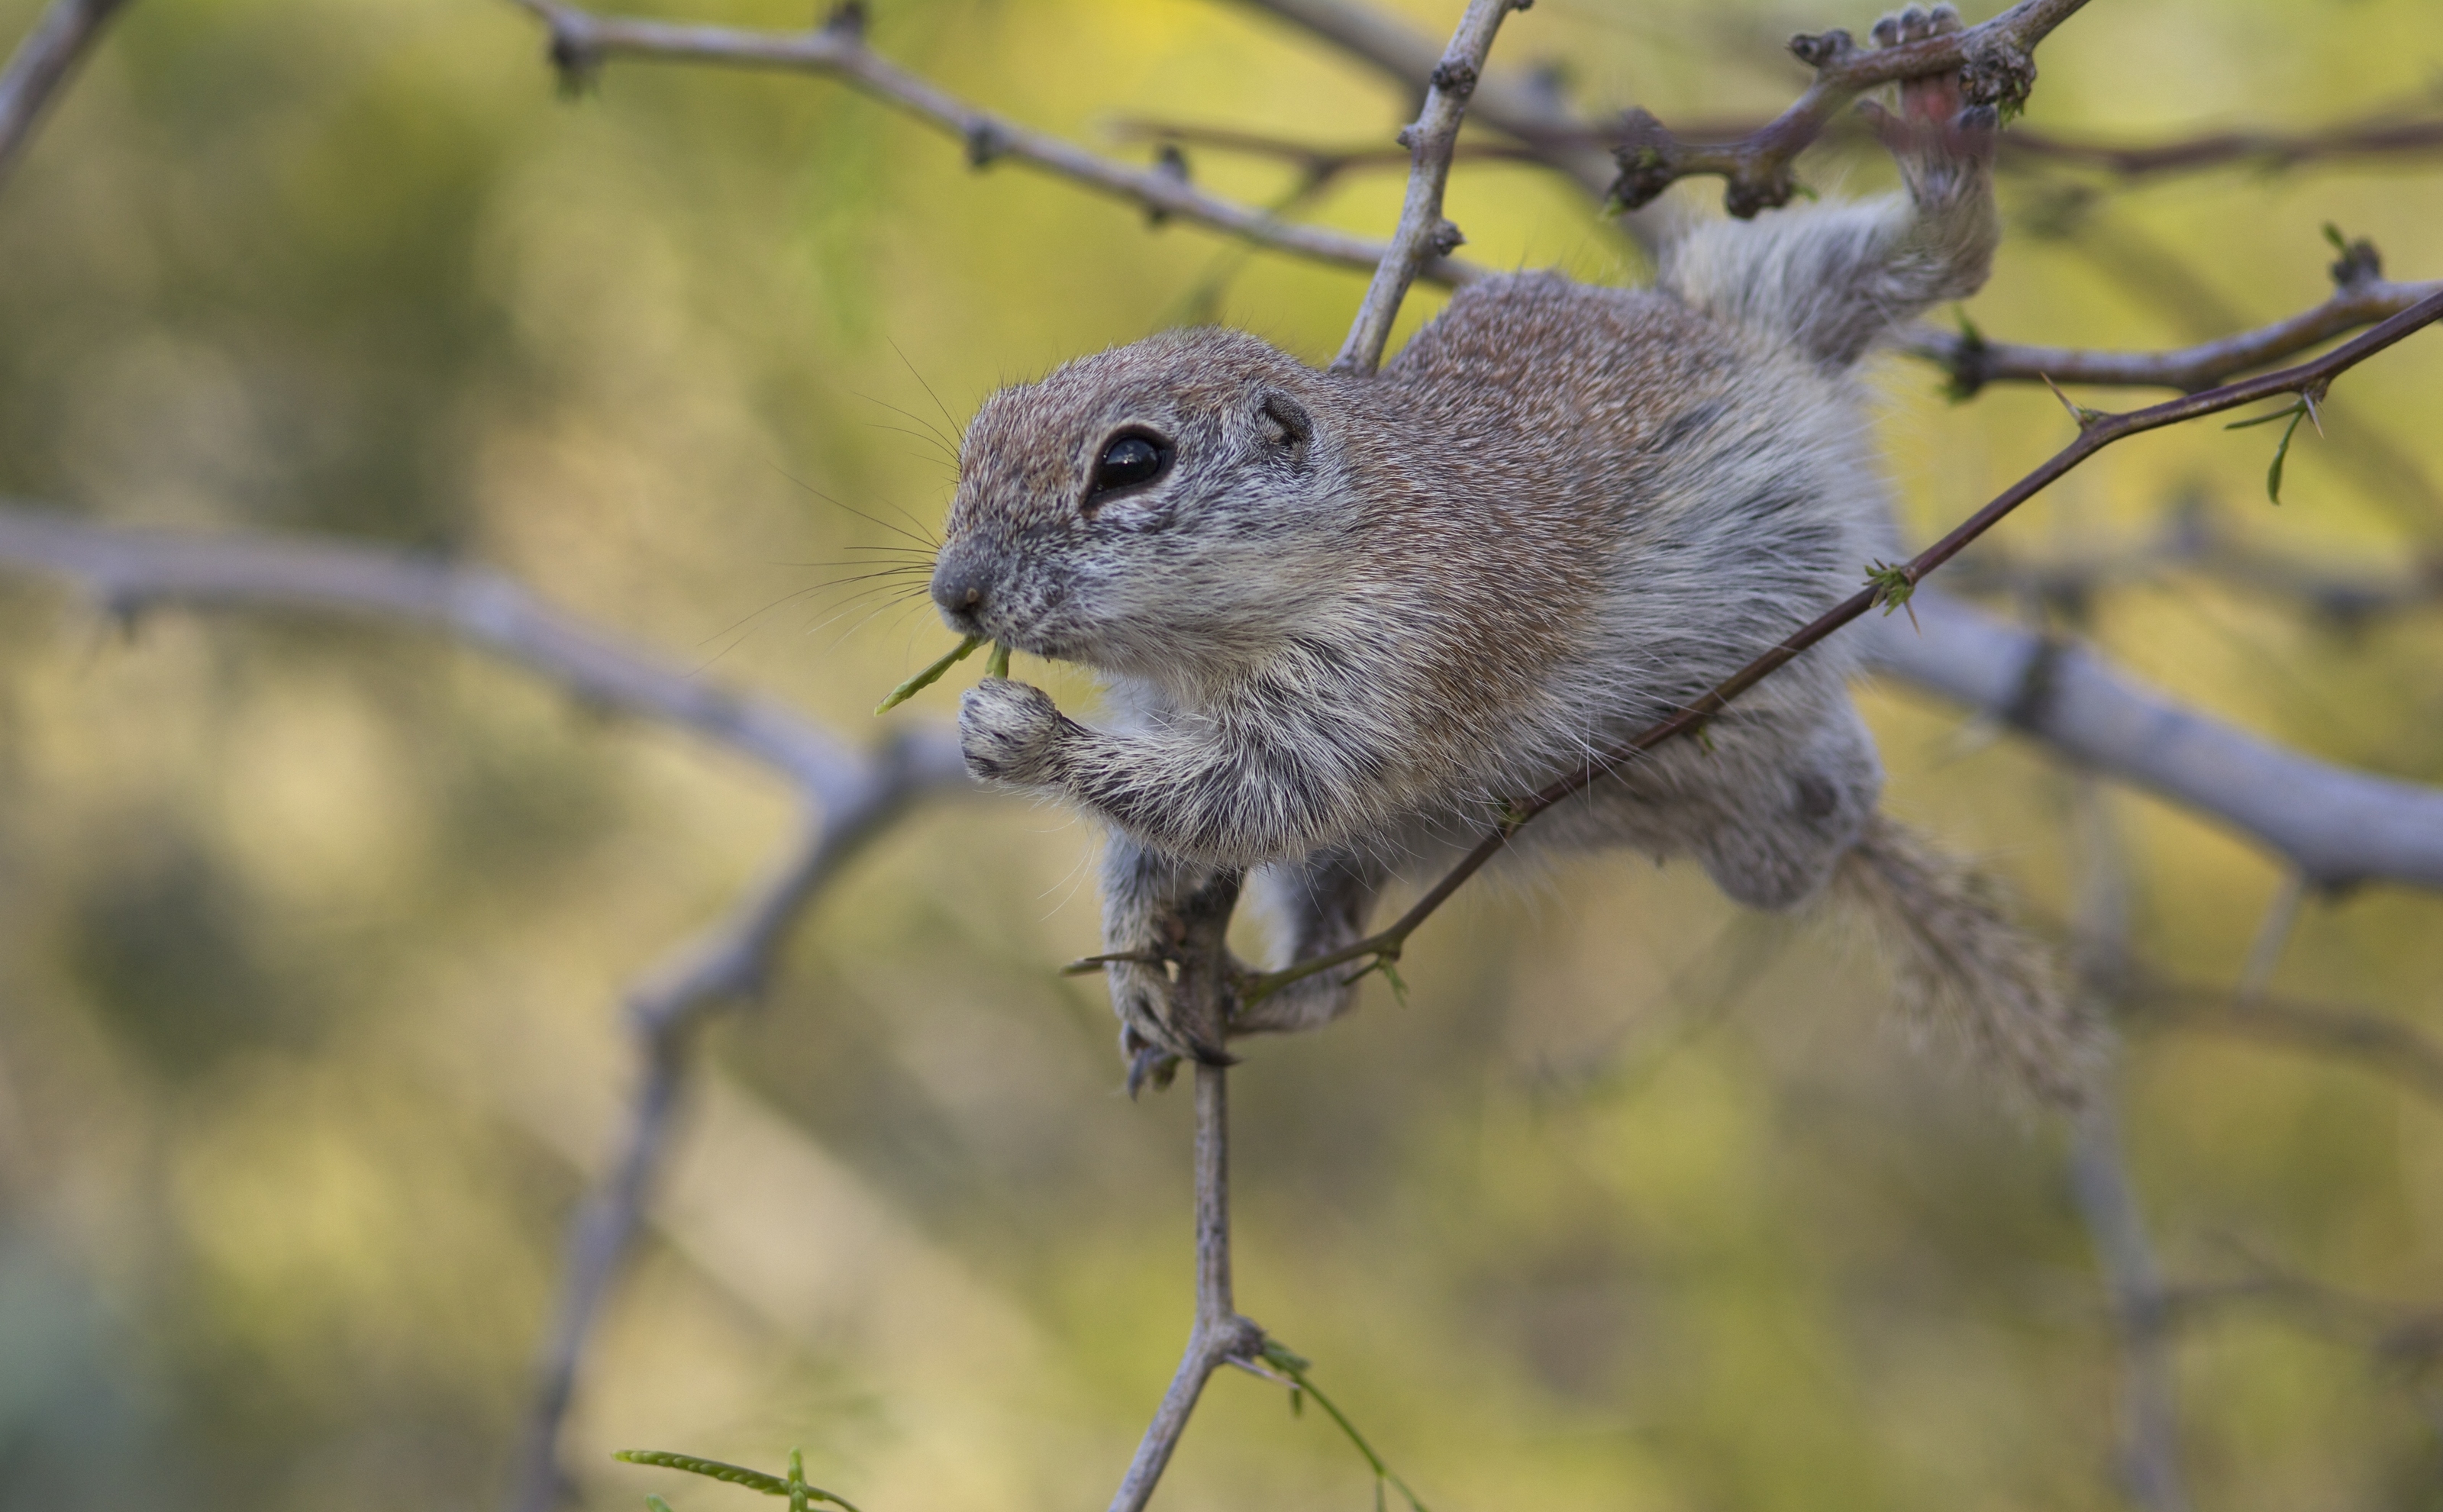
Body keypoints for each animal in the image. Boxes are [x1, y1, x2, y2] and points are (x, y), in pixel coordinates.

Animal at [923, 5, 2091, 1104]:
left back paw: (1937, 126)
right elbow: (1163, 838)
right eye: (979, 431)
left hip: (1784, 288)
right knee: (1335, 971)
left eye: (1130, 462)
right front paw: (1131, 957)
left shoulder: (1401, 660)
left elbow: (1250, 792)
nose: (954, 595)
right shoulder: (1181, 705)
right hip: (1367, 860)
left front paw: (1018, 733)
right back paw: (1264, 998)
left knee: (1937, 258)